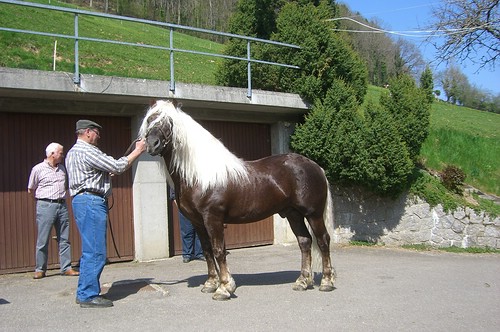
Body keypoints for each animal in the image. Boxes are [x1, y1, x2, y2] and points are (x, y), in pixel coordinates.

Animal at [139, 99, 336, 300]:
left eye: (169, 122)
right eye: (150, 120)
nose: (152, 144)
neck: (200, 176)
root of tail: (316, 167)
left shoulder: (213, 219)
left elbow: (218, 250)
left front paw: (224, 288)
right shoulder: (197, 222)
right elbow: (207, 251)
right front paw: (211, 284)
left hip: (313, 214)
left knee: (323, 241)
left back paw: (326, 282)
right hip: (293, 214)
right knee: (305, 242)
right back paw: (302, 282)